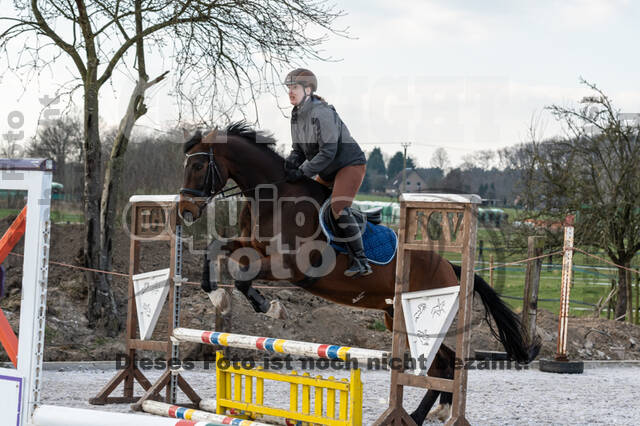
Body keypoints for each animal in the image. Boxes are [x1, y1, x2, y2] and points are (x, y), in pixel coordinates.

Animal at [176, 121, 540, 424]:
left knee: (445, 365)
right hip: (399, 319)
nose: (184, 211)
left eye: (198, 165)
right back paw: (429, 413)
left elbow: (243, 276)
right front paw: (217, 296)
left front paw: (271, 307)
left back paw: (417, 416)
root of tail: (451, 268)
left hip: (423, 320)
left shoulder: (290, 266)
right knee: (442, 365)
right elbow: (215, 248)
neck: (274, 198)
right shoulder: (248, 246)